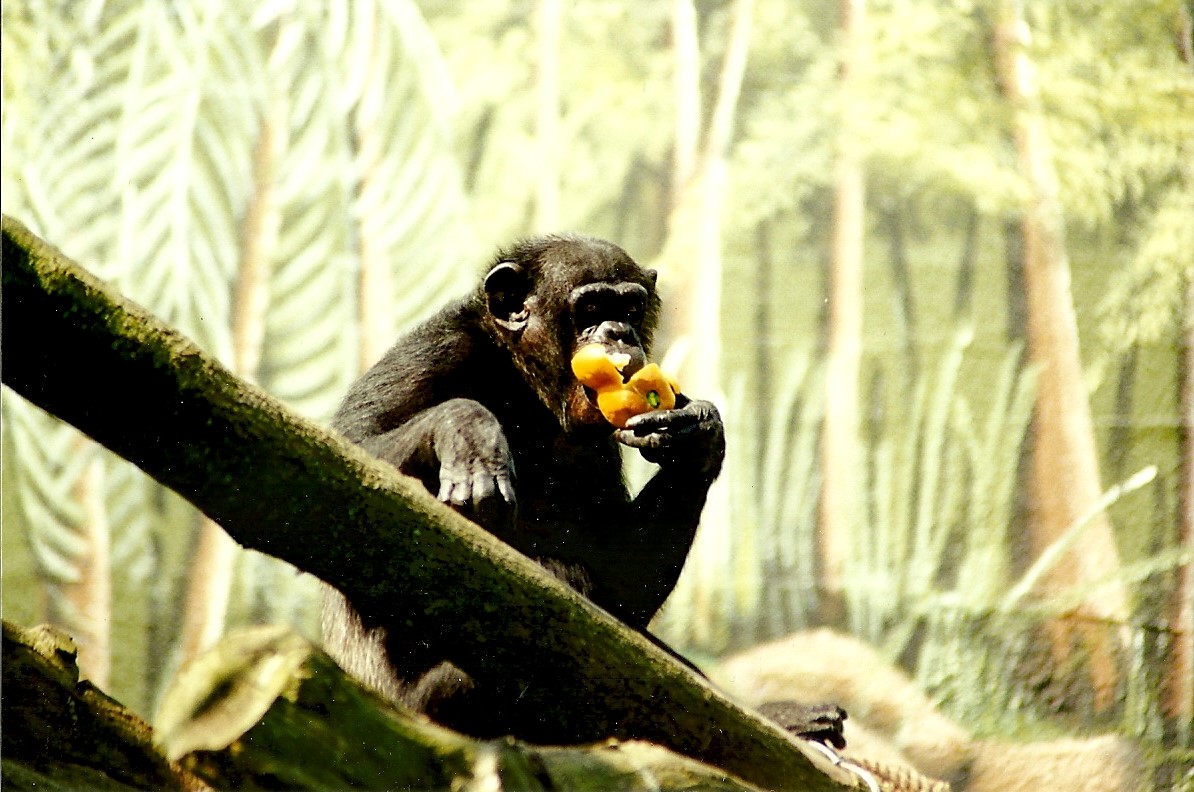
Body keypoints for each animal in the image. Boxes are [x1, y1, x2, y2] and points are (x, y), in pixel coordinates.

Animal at [322, 233, 843, 746]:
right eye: (591, 308)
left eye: (630, 307)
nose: (619, 332)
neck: (524, 377)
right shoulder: (431, 351)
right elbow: (352, 451)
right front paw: (466, 431)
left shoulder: (597, 446)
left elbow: (619, 577)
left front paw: (697, 433)